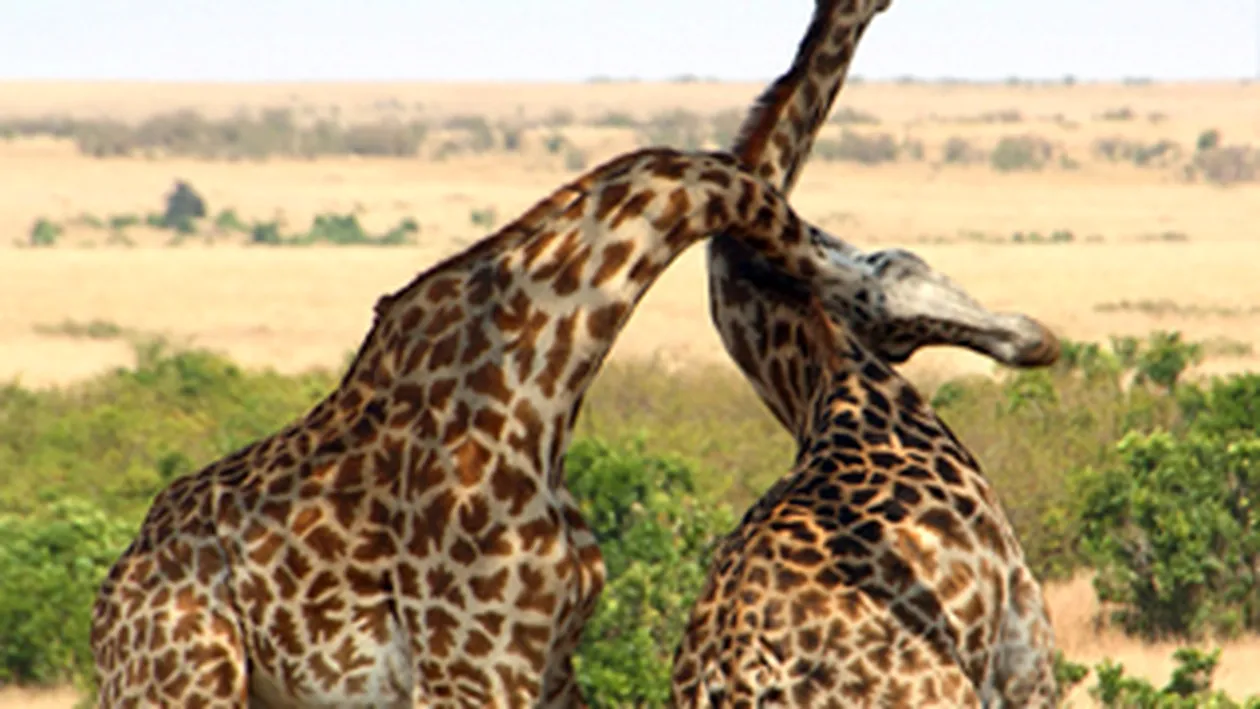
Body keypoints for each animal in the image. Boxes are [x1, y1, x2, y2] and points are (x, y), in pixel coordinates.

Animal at [89, 146, 935, 709]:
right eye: (897, 305)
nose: (1000, 336)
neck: (540, 386)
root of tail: (110, 594)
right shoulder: (473, 671)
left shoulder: (551, 660)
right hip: (180, 678)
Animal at [670, 1, 1062, 706]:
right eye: (891, 265)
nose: (1033, 338)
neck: (824, 376)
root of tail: (735, 680)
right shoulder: (1025, 640)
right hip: (940, 688)